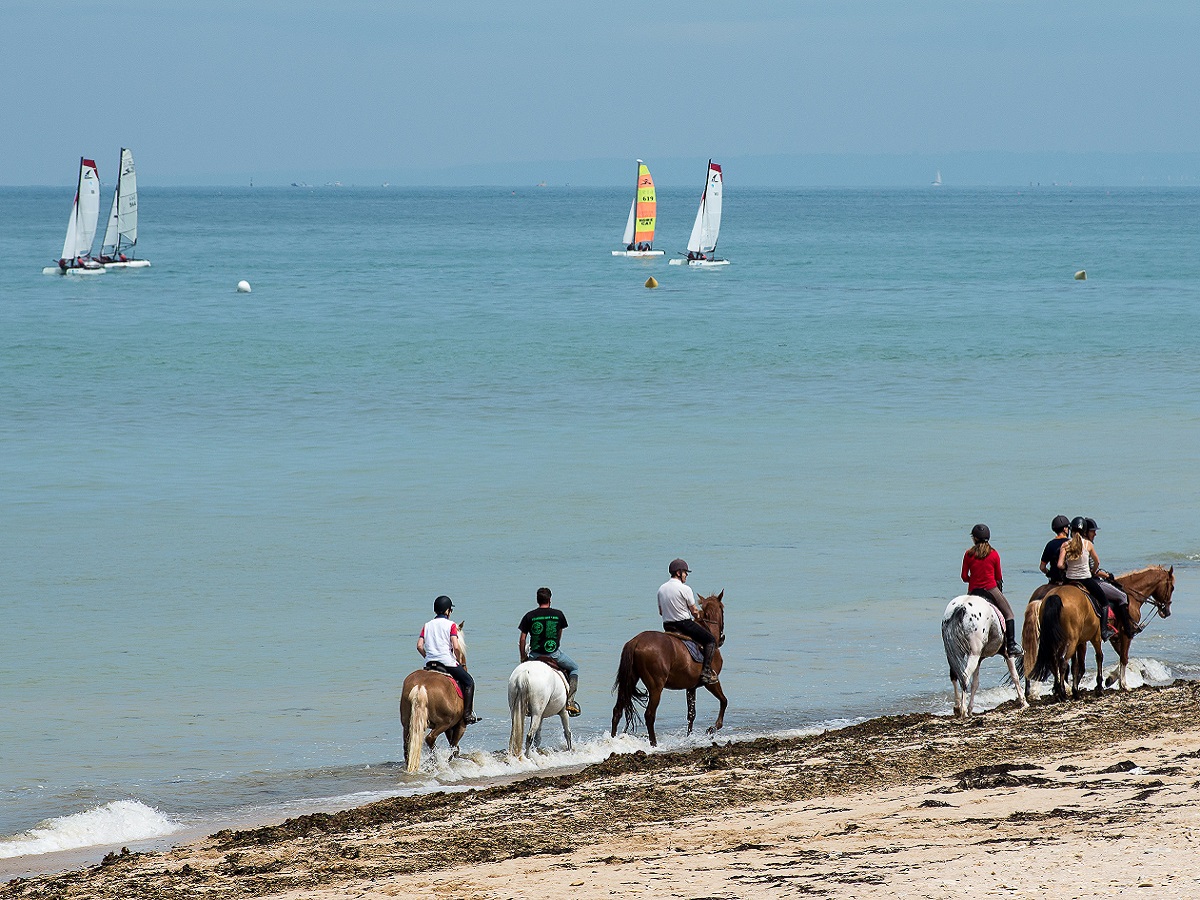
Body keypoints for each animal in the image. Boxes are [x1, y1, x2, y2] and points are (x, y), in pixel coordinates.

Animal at [399, 623, 469, 773]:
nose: (463, 664)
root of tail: (420, 685)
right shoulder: (460, 724)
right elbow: (454, 746)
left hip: (407, 723)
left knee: (408, 745)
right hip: (444, 723)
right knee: (430, 739)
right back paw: (437, 760)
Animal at [611, 591, 727, 747]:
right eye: (722, 609)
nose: (721, 639)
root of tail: (635, 641)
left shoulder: (691, 687)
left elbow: (691, 714)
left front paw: (689, 737)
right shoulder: (711, 683)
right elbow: (724, 701)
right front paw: (712, 729)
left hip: (630, 681)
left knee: (617, 710)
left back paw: (612, 740)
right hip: (656, 687)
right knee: (649, 715)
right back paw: (653, 744)